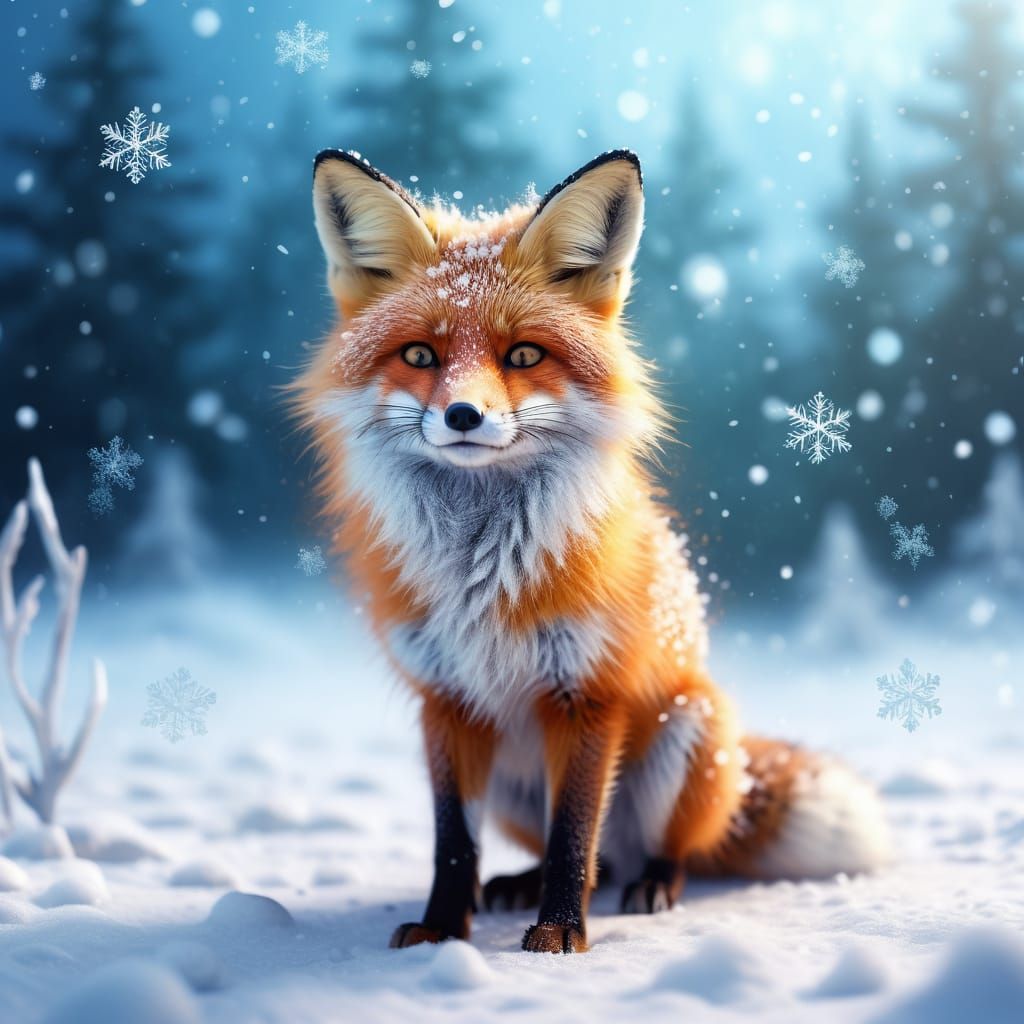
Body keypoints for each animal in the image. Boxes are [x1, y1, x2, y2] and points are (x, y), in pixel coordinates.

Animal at [295, 148, 890, 954]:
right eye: (419, 354)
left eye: (523, 354)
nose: (463, 415)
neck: (480, 568)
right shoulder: (445, 701)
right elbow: (454, 842)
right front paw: (444, 928)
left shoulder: (587, 693)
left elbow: (574, 831)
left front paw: (559, 939)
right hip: (515, 785)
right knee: (595, 856)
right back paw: (524, 883)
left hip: (687, 729)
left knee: (648, 850)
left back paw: (652, 885)